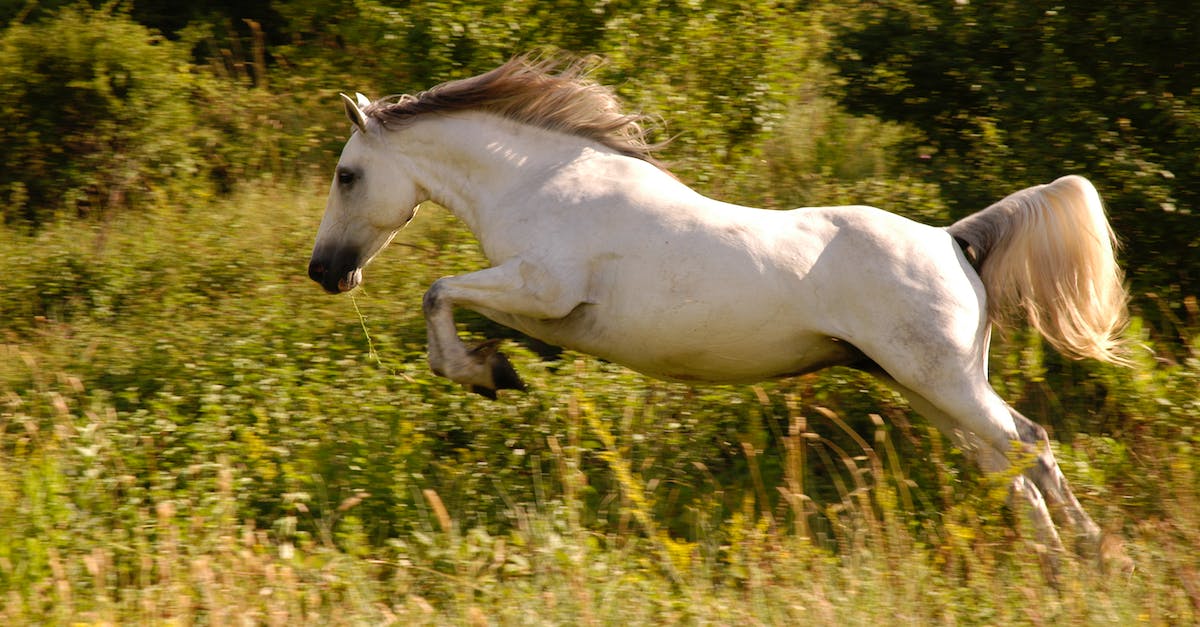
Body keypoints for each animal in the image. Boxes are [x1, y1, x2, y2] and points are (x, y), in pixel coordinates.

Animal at [307, 54, 1123, 552]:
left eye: (347, 175)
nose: (324, 272)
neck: (541, 182)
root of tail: (953, 239)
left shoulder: (544, 286)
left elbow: (438, 291)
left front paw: (481, 371)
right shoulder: (536, 304)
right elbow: (463, 307)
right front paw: (494, 366)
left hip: (943, 382)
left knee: (1031, 444)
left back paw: (1092, 555)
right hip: (927, 388)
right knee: (1005, 463)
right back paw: (1051, 562)